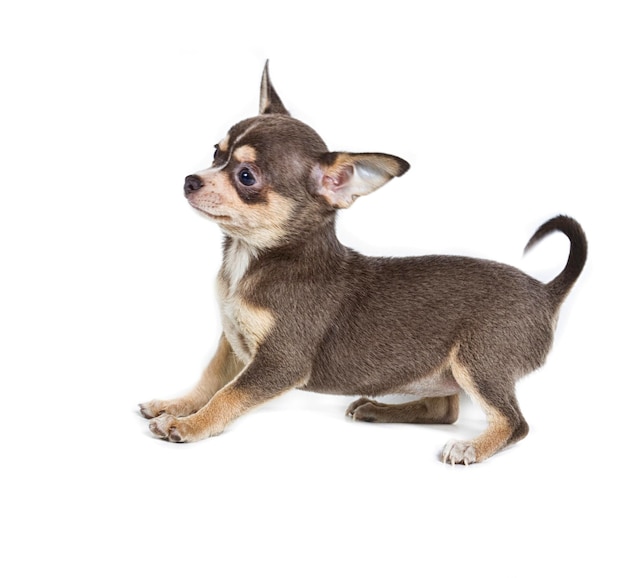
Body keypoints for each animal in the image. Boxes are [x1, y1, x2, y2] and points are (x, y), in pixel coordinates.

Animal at [138, 62, 584, 464]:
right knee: (444, 409)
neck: (250, 259)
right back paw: (378, 408)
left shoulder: (280, 362)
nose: (190, 180)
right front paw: (176, 405)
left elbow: (227, 394)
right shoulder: (230, 342)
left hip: (479, 363)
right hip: (445, 371)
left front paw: (189, 425)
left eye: (246, 176)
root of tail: (546, 292)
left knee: (513, 422)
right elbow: (209, 380)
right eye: (216, 153)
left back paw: (471, 446)